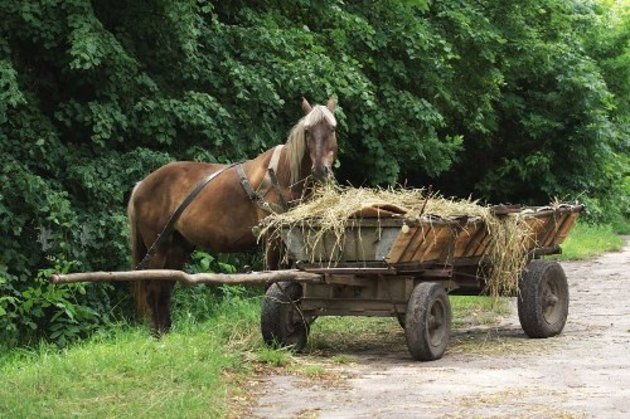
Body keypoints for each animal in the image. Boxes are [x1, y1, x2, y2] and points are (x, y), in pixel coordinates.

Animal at [125, 97, 338, 334]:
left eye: (332, 128)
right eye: (308, 131)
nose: (321, 170)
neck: (281, 175)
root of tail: (142, 184)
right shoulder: (271, 238)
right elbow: (273, 277)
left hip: (177, 246)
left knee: (165, 288)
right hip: (158, 246)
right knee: (154, 287)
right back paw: (158, 336)